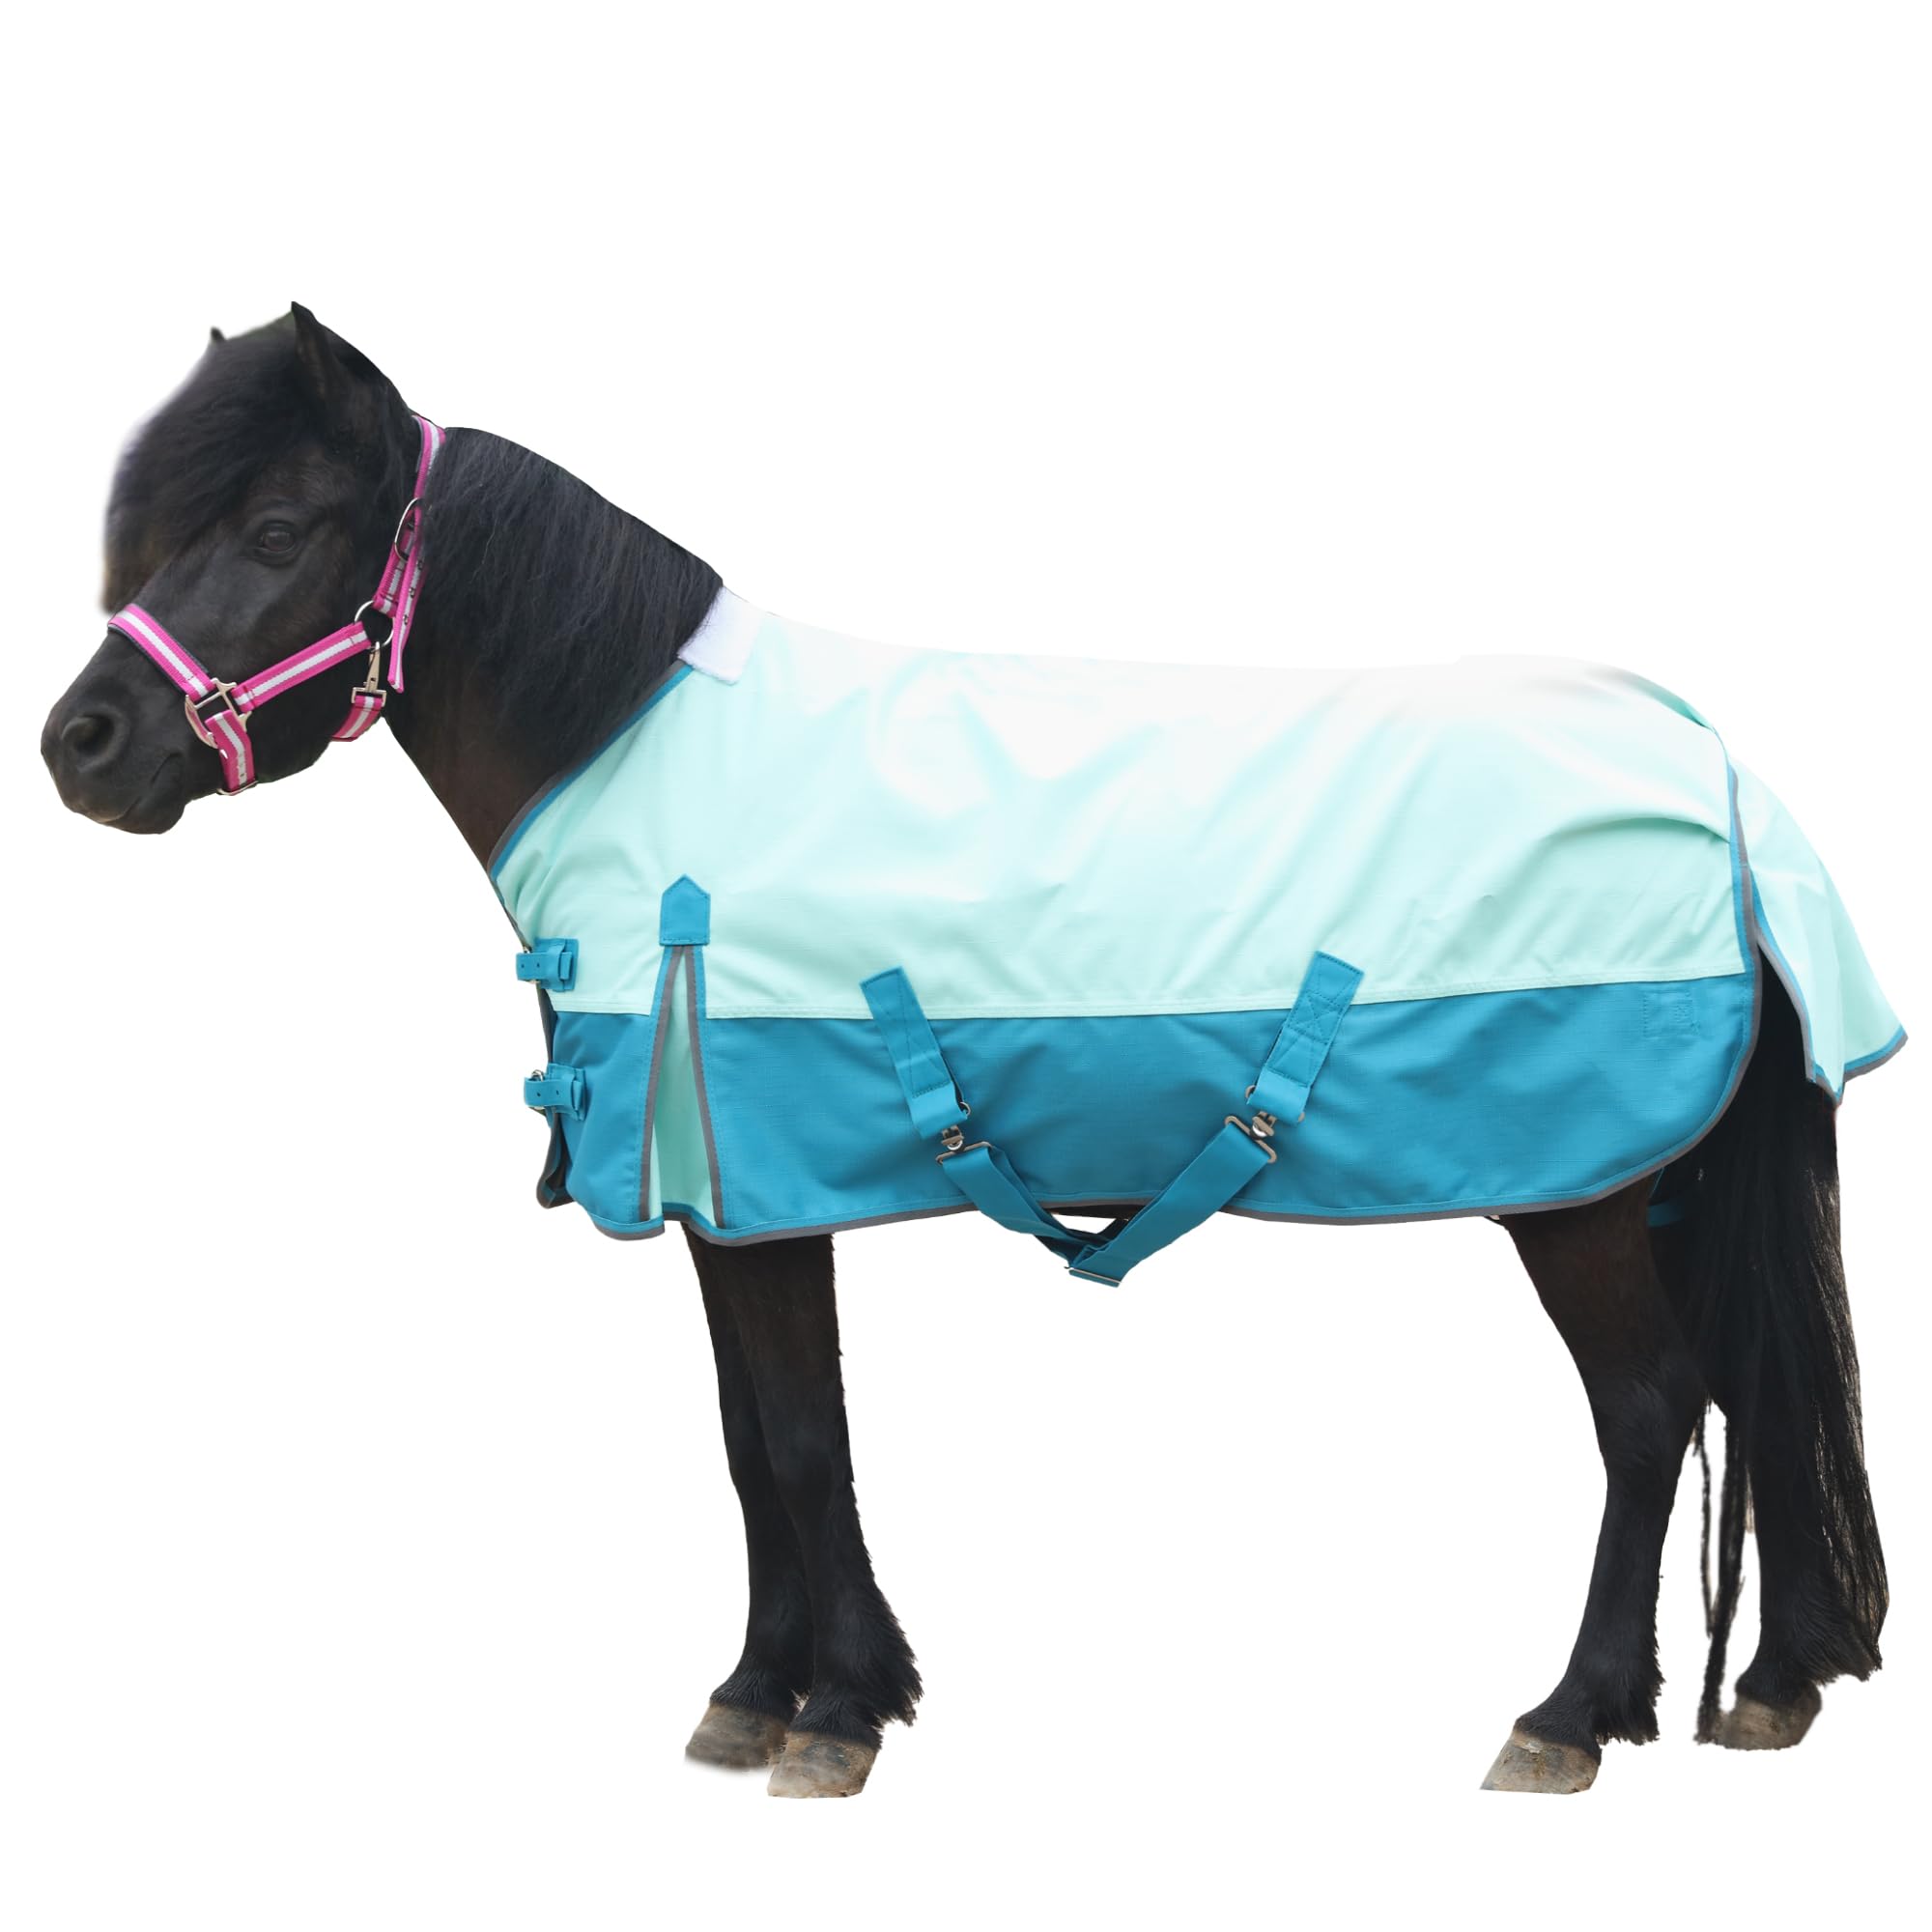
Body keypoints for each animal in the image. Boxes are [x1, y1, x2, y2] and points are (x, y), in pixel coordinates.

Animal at [41, 307, 1894, 1798]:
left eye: (277, 527)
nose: (83, 745)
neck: (636, 755)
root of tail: (1715, 776)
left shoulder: (765, 1192)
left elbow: (801, 1440)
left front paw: (836, 1716)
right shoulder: (724, 1202)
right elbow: (746, 1443)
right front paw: (752, 1692)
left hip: (1579, 1199)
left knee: (1649, 1410)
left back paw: (1570, 1717)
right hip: (1661, 1189)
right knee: (1746, 1385)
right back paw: (1773, 1687)